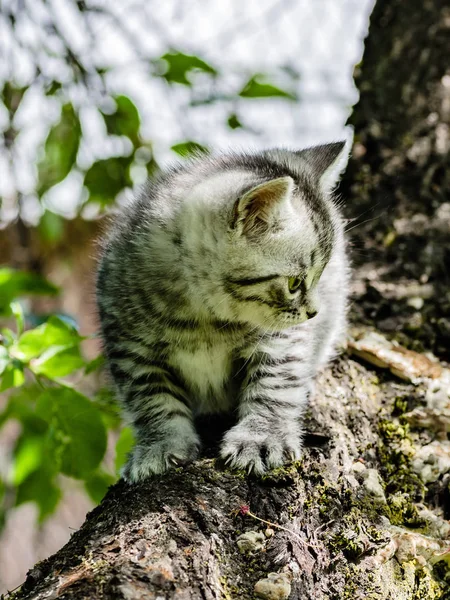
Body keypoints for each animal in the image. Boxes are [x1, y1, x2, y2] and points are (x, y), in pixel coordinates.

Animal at [97, 142, 352, 482]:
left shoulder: (280, 339)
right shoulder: (130, 349)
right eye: (295, 283)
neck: (202, 318)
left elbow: (274, 385)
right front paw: (160, 446)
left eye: (319, 277)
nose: (314, 312)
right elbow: (152, 401)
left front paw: (262, 438)